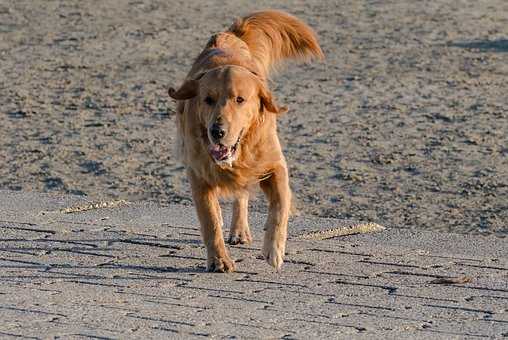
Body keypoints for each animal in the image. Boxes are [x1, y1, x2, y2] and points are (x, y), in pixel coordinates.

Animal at [169, 9, 324, 272]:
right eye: (208, 99)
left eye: (240, 99)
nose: (217, 131)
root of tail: (229, 34)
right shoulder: (198, 174)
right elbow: (209, 220)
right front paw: (219, 259)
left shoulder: (274, 166)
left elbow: (280, 207)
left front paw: (274, 249)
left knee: (241, 195)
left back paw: (240, 230)